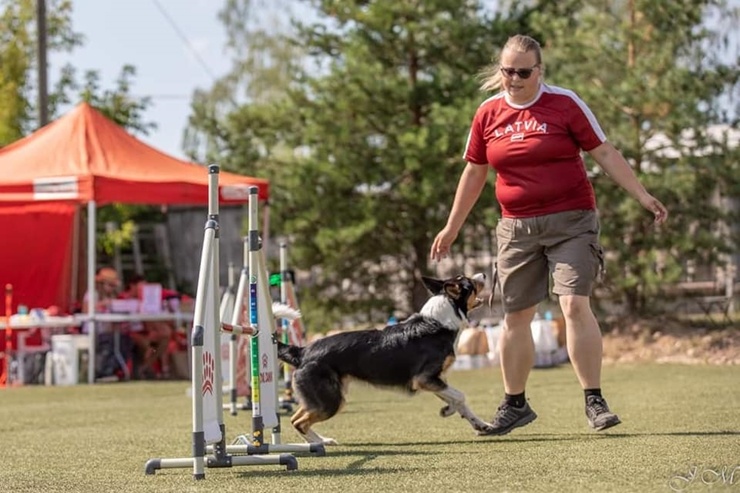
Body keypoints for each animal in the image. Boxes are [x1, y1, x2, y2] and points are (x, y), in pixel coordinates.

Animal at [274, 272, 494, 446]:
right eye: (470, 283)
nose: (483, 274)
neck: (438, 323)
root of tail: (302, 351)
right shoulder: (425, 378)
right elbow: (461, 396)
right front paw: (449, 410)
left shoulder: (436, 380)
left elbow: (459, 401)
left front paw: (479, 424)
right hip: (331, 401)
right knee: (299, 421)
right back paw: (319, 443)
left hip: (324, 398)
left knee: (296, 417)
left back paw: (321, 440)